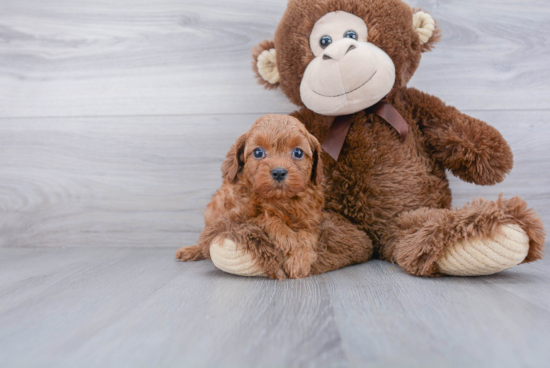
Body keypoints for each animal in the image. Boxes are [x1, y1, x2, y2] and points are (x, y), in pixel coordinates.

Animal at [176, 114, 328, 278]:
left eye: (298, 153)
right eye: (258, 152)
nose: (279, 172)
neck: (279, 200)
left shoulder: (311, 220)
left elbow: (308, 235)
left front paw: (300, 260)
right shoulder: (238, 216)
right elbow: (266, 217)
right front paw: (288, 238)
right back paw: (192, 250)